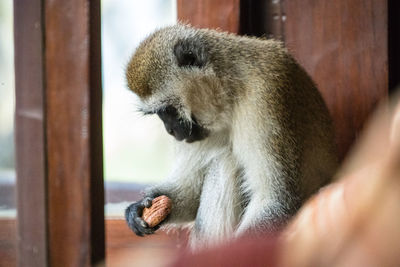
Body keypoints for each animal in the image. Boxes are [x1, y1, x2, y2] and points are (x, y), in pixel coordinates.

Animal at [124, 23, 338, 249]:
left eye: (168, 110)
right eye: (160, 114)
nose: (170, 131)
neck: (231, 90)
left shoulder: (266, 96)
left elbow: (275, 200)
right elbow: (191, 193)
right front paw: (138, 208)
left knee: (225, 163)